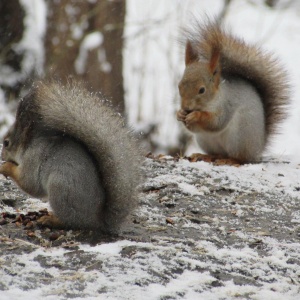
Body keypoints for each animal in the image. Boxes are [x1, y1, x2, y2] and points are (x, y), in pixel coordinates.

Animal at [0, 81, 142, 233]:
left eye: (6, 143)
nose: (2, 156)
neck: (28, 145)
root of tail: (96, 220)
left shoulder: (33, 159)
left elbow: (29, 183)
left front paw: (5, 167)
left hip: (60, 189)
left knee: (70, 221)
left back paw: (51, 220)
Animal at [177, 19, 290, 163]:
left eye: (202, 90)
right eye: (179, 86)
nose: (186, 107)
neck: (212, 100)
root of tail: (257, 150)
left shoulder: (227, 105)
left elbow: (216, 122)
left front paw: (195, 115)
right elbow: (195, 128)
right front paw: (179, 114)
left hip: (239, 137)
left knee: (240, 158)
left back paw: (230, 160)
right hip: (205, 140)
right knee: (218, 153)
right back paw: (206, 156)